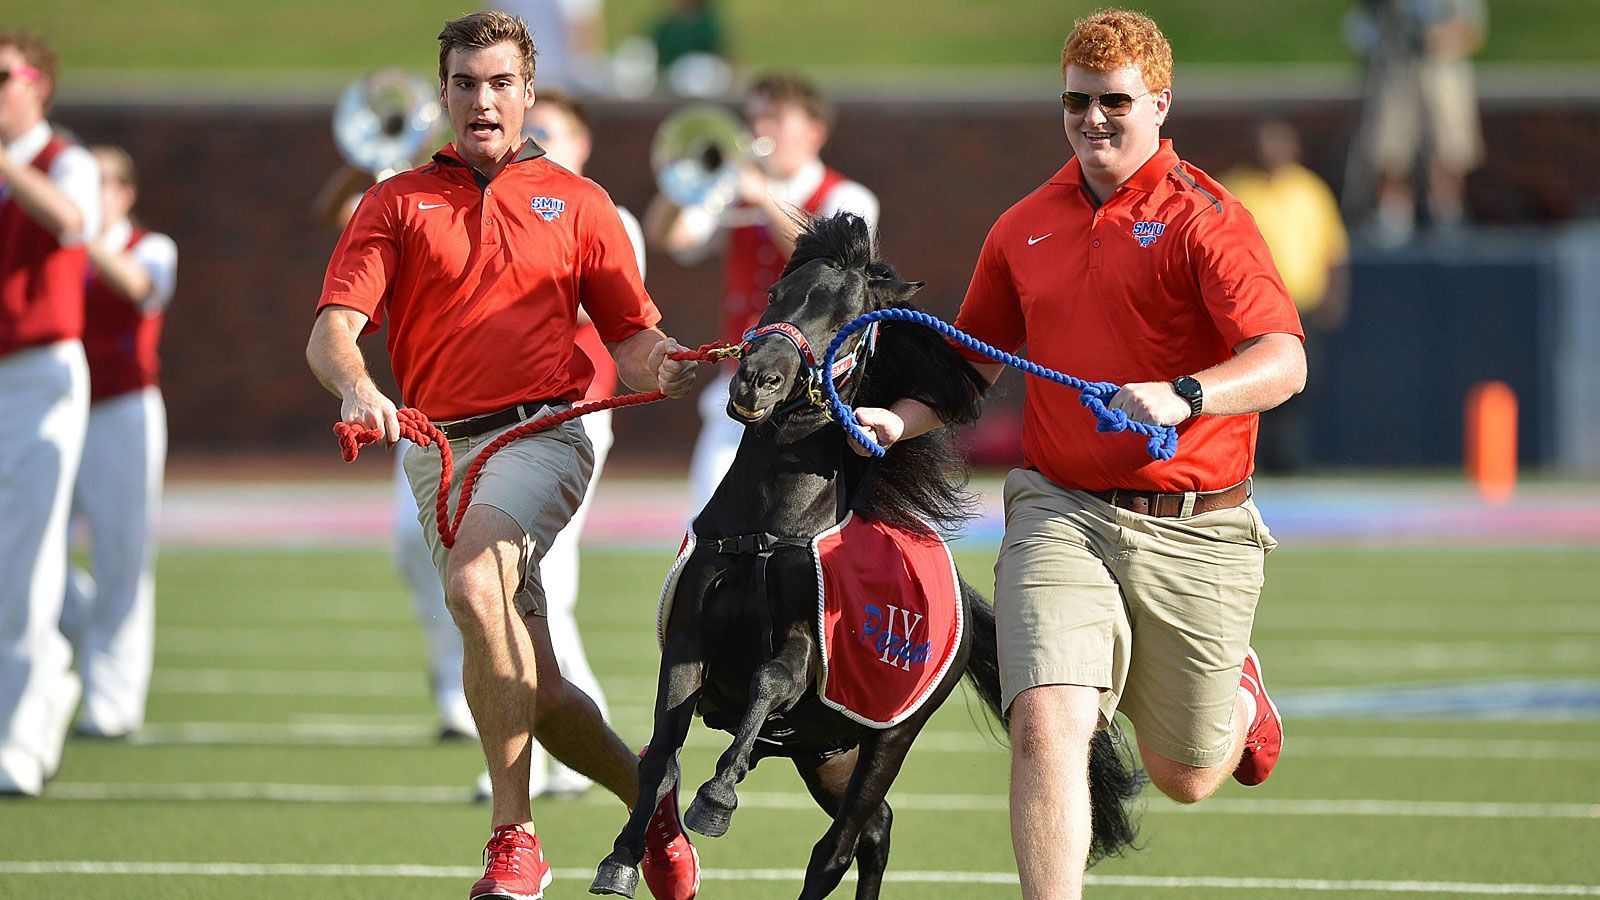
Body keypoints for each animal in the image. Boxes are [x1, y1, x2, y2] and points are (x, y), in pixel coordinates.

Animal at [595, 212, 1145, 890]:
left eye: (849, 322)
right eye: (775, 293)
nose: (756, 379)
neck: (766, 533)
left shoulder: (805, 647)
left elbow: (770, 681)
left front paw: (718, 795)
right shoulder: (689, 640)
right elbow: (660, 755)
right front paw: (622, 858)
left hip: (887, 738)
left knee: (839, 845)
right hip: (825, 750)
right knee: (875, 827)